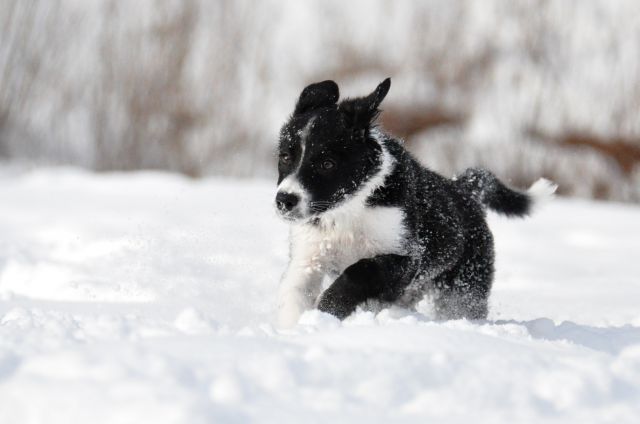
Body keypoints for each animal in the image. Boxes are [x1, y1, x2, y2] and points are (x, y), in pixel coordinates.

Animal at [274, 78, 556, 328]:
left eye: (327, 163)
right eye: (286, 156)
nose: (284, 200)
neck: (349, 210)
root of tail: (464, 189)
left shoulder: (406, 257)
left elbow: (360, 270)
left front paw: (328, 309)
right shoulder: (309, 255)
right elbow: (295, 292)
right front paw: (295, 328)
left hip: (464, 287)